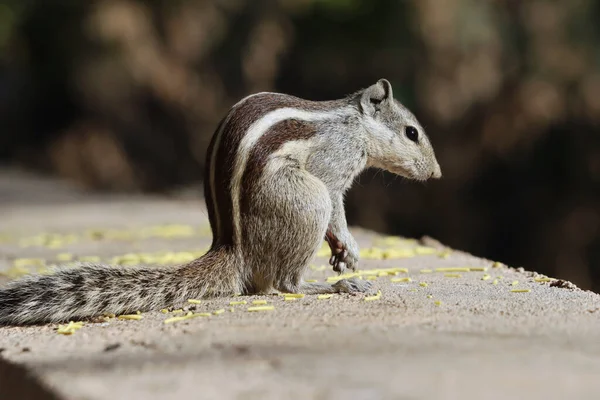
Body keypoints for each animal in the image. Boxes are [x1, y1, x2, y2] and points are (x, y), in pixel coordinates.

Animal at [0, 79, 440, 324]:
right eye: (412, 132)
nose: (437, 175)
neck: (354, 124)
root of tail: (232, 248)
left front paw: (342, 254)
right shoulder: (333, 169)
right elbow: (337, 205)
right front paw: (350, 248)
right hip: (305, 200)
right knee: (281, 284)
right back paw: (334, 286)